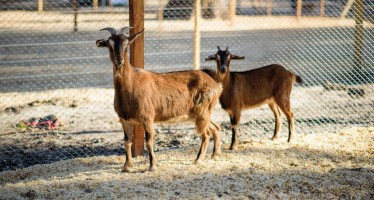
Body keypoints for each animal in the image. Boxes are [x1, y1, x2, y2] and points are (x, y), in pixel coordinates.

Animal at [96, 27, 222, 172]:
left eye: (126, 44)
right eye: (109, 44)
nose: (119, 60)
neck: (131, 85)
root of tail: (215, 81)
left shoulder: (147, 118)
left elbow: (149, 142)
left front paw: (152, 166)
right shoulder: (125, 120)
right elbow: (127, 142)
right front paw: (127, 166)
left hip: (202, 112)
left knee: (206, 134)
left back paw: (198, 159)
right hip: (201, 113)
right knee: (216, 128)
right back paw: (214, 155)